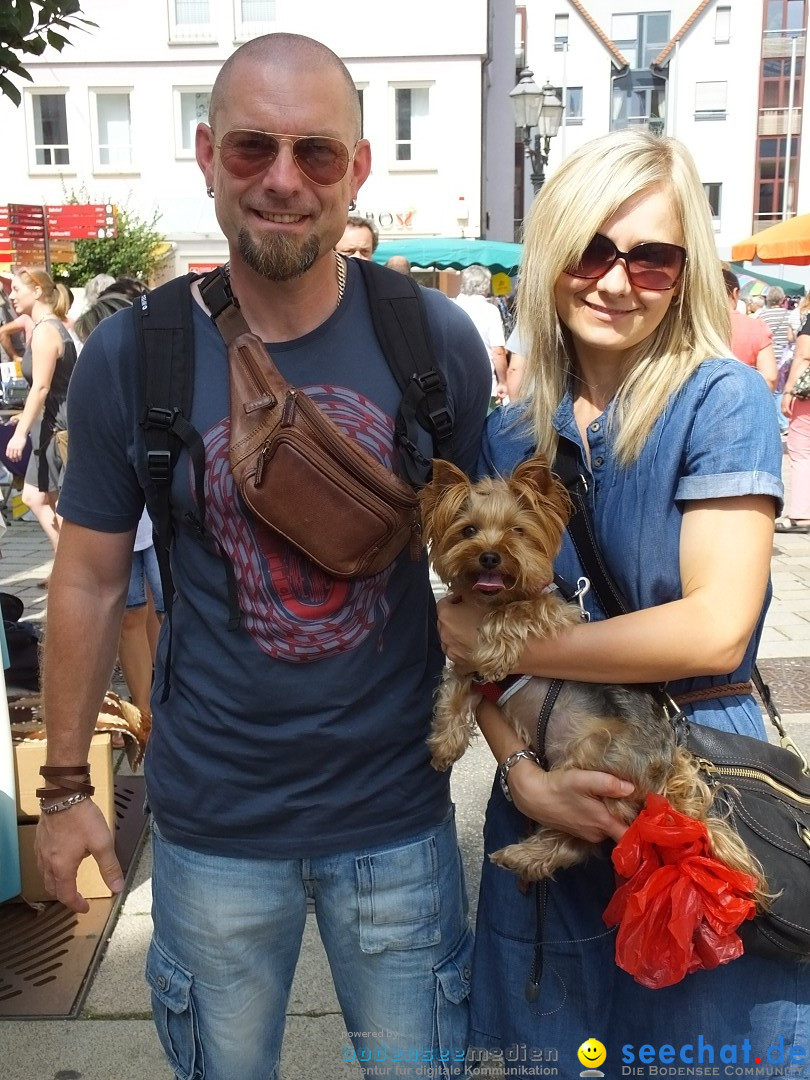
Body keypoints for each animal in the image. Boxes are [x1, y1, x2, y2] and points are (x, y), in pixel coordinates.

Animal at [421, 455, 768, 902]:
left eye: (518, 530)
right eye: (468, 531)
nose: (490, 557)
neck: (489, 598)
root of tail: (668, 769)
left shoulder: (555, 613)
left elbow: (515, 613)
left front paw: (495, 652)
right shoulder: (466, 670)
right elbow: (453, 691)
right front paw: (444, 747)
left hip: (591, 757)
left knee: (591, 831)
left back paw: (524, 854)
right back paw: (522, 857)